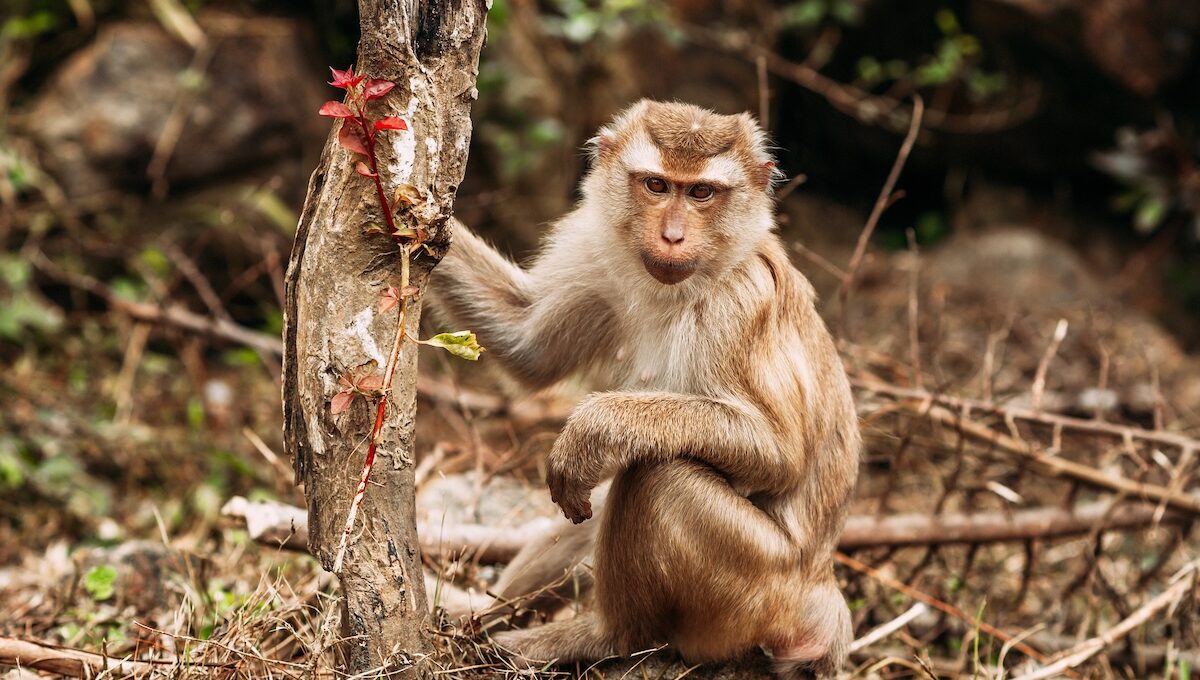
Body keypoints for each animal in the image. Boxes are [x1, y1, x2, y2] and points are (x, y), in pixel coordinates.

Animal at [429, 100, 861, 678]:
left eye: (701, 193)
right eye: (656, 185)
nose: (672, 237)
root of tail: (819, 593)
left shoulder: (740, 301)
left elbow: (779, 451)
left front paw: (592, 429)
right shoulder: (593, 250)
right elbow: (527, 346)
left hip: (757, 589)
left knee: (657, 476)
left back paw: (601, 637)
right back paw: (476, 614)